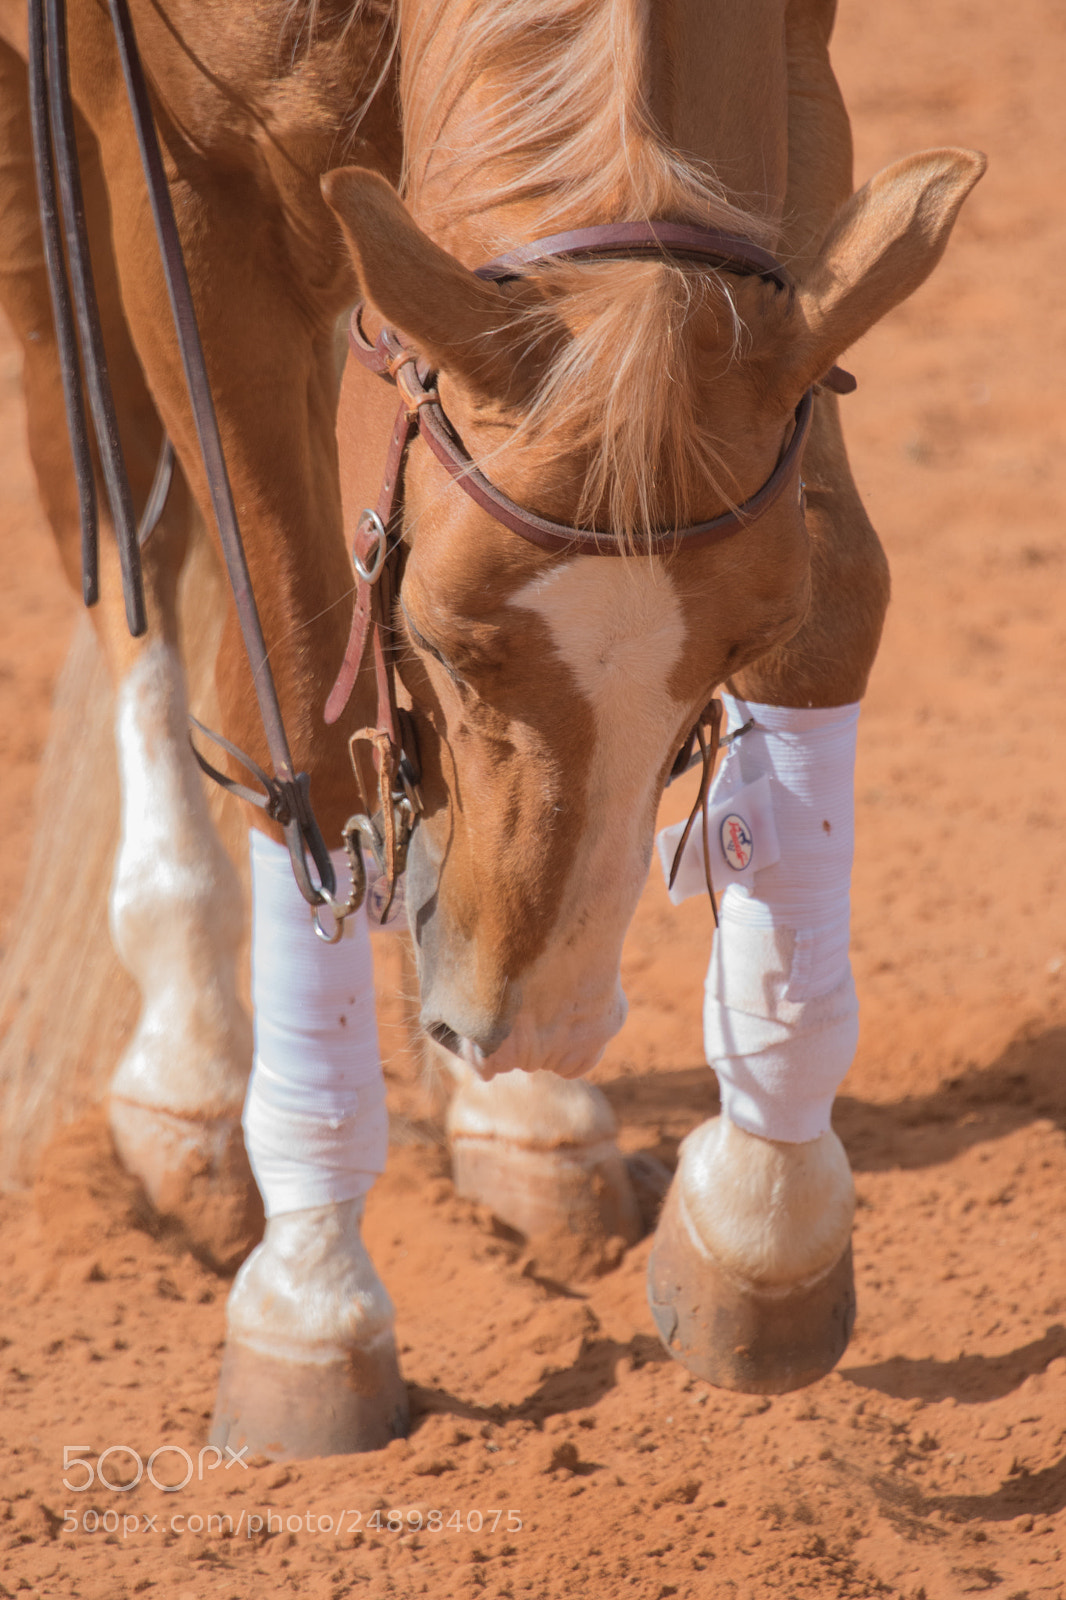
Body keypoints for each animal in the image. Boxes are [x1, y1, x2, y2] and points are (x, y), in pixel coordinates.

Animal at [0, 0, 983, 1459]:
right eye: (445, 641)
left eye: (733, 648)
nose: (538, 1026)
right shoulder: (185, 181)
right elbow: (296, 691)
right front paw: (310, 1295)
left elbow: (842, 593)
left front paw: (758, 1223)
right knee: (117, 511)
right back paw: (196, 1071)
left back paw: (521, 1117)